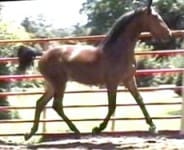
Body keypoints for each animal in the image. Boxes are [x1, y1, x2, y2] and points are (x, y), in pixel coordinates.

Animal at [20, 0, 172, 141]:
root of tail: (42, 54)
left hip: (52, 85)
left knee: (40, 103)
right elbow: (112, 106)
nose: (169, 34)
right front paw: (97, 128)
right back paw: (75, 130)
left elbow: (140, 100)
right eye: (156, 17)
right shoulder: (112, 82)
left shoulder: (129, 80)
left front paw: (153, 127)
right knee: (56, 105)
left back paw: (30, 133)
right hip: (59, 83)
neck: (118, 51)